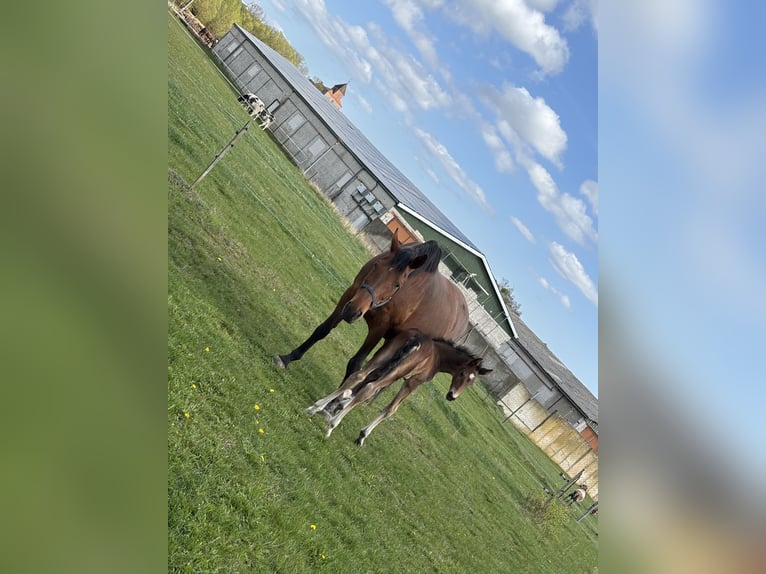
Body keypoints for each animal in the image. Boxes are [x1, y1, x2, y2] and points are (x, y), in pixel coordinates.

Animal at [274, 231, 469, 382]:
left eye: (397, 285)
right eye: (376, 265)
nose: (352, 312)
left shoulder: (380, 327)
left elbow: (356, 363)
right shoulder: (350, 295)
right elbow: (322, 330)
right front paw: (287, 358)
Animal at [306, 330, 492, 445]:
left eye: (471, 382)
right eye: (462, 374)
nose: (452, 396)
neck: (437, 356)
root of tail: (416, 339)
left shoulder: (388, 369)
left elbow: (361, 386)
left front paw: (339, 404)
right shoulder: (412, 382)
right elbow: (391, 408)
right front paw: (362, 436)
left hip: (385, 356)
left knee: (358, 376)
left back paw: (315, 407)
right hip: (398, 370)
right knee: (370, 388)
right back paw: (332, 426)